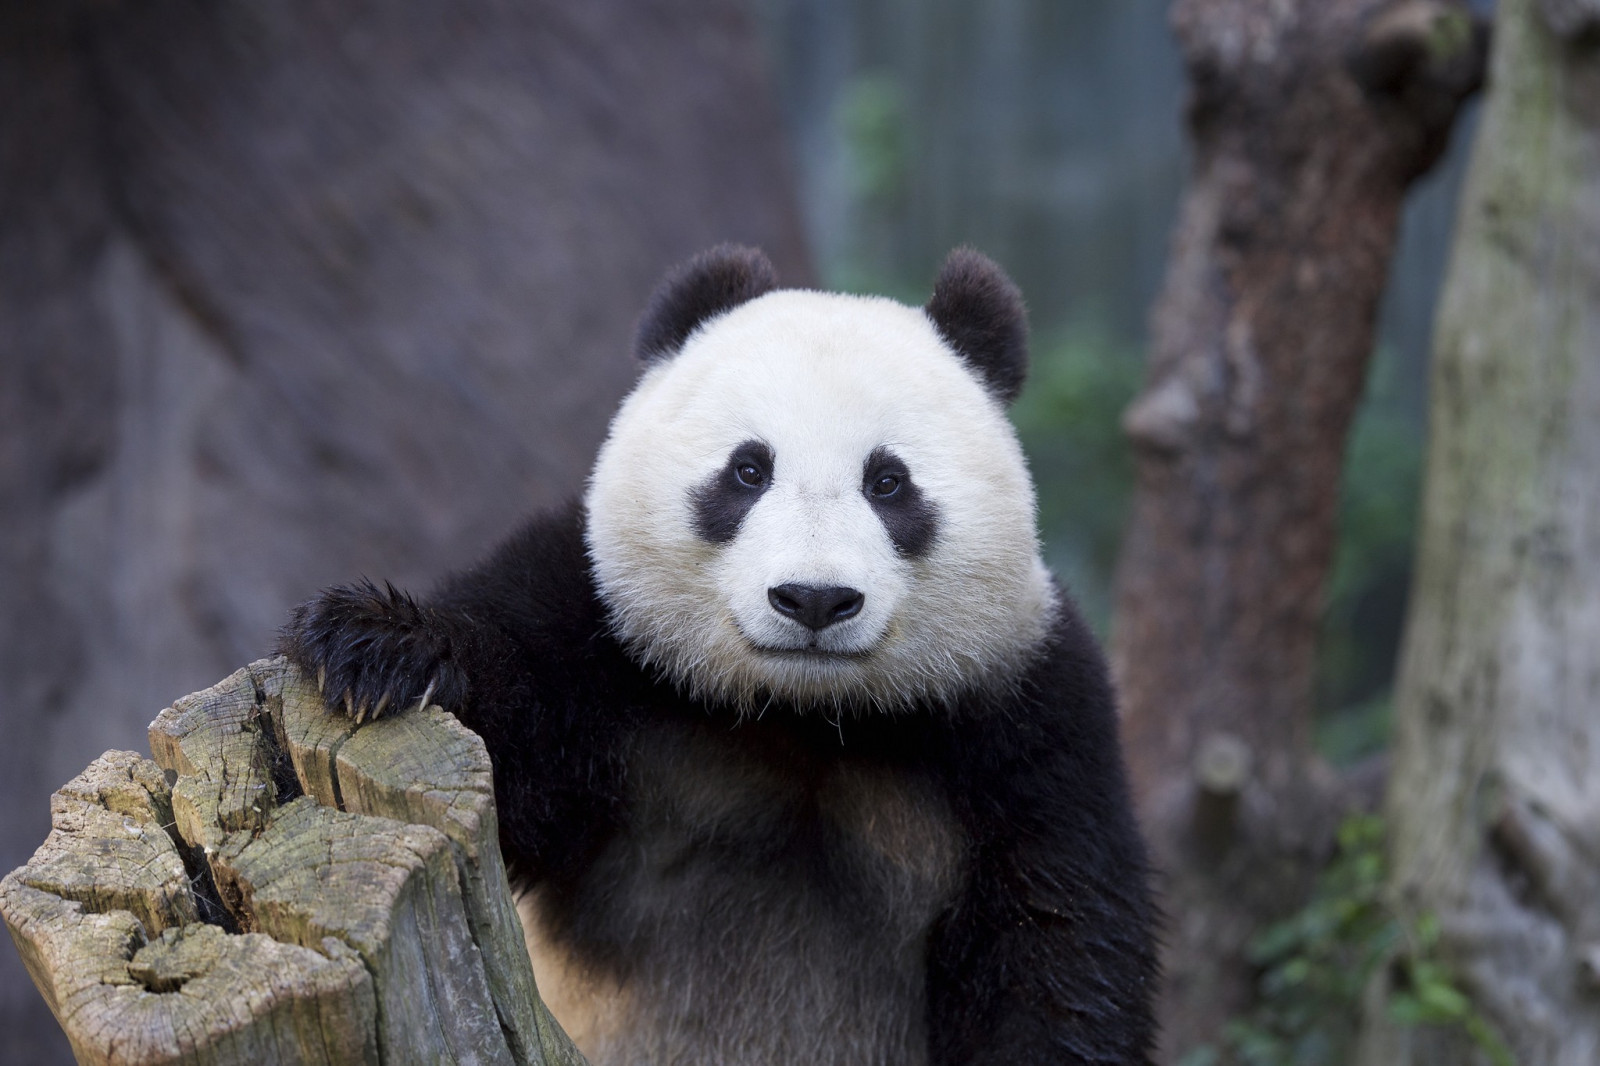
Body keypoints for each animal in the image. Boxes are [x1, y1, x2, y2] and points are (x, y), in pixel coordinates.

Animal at [280, 245, 1158, 1066]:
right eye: (748, 469)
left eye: (888, 482)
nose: (813, 600)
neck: (804, 714)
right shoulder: (599, 634)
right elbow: (511, 733)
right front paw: (373, 647)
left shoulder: (1028, 722)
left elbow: (1057, 945)